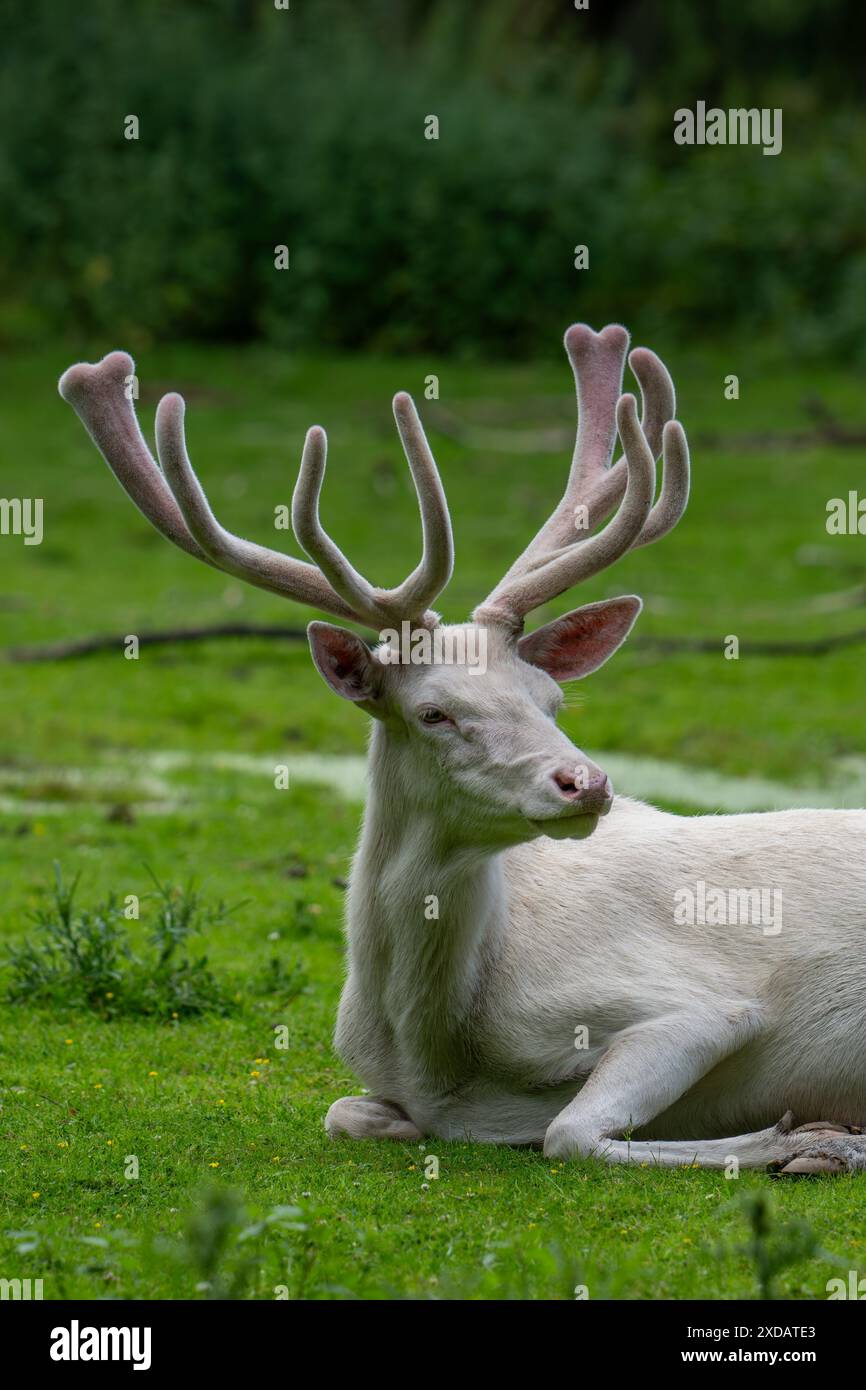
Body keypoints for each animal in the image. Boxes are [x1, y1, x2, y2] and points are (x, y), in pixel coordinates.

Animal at [59, 323, 866, 1176]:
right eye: (435, 713)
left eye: (552, 700)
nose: (586, 783)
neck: (434, 1045)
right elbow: (346, 1113)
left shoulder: (702, 1003)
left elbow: (570, 1131)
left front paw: (817, 1138)